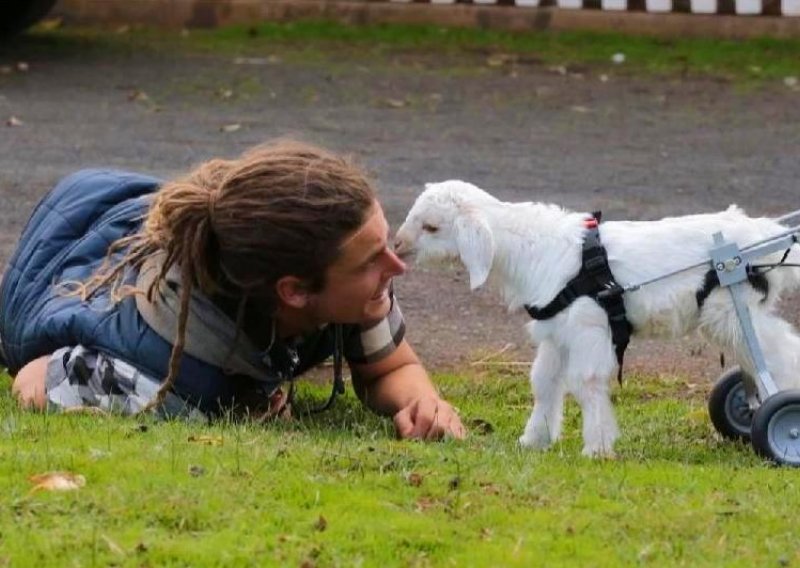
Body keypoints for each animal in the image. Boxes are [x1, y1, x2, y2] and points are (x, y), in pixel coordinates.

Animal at [394, 181, 800, 458]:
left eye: (432, 227)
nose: (397, 245)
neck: (533, 250)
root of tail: (769, 234)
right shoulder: (557, 334)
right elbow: (543, 382)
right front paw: (533, 439)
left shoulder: (588, 327)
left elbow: (585, 381)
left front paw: (598, 447)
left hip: (732, 308)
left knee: (780, 352)